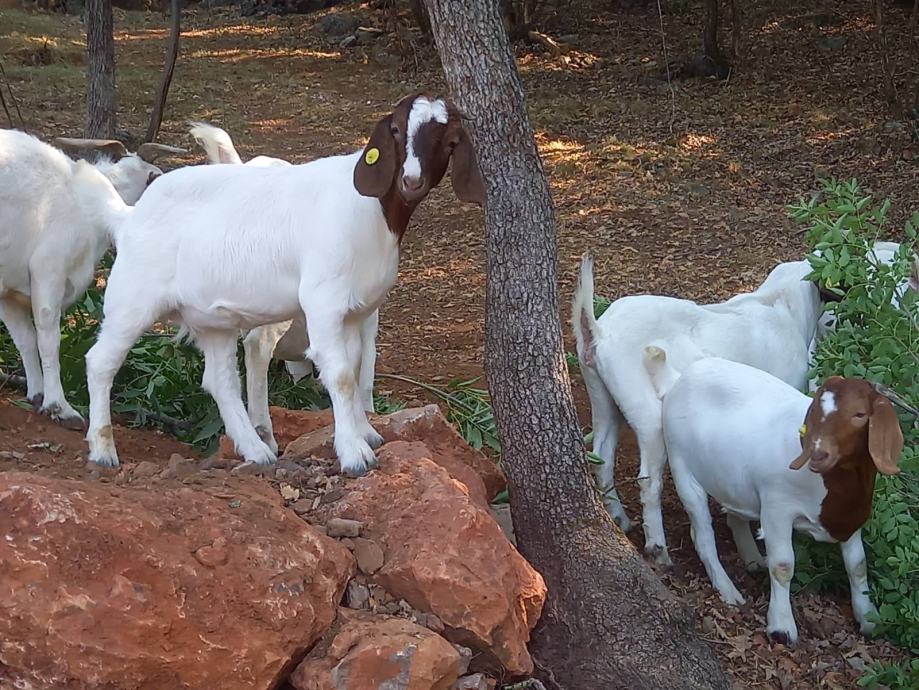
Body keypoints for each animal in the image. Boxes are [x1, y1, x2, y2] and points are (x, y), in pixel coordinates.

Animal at [0, 130, 185, 424]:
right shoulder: (48, 271)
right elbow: (48, 340)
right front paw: (60, 407)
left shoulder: (8, 291)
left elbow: (25, 339)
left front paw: (37, 394)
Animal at [572, 254, 824, 564]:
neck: (780, 305)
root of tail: (599, 332)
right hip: (648, 413)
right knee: (647, 480)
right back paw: (658, 549)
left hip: (602, 397)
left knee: (603, 458)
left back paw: (620, 520)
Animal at [648, 352, 904, 644]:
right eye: (817, 412)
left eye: (860, 414)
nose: (818, 453)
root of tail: (678, 378)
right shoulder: (777, 508)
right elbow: (783, 565)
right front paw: (782, 627)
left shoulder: (851, 517)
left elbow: (858, 565)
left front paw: (868, 618)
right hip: (683, 468)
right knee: (701, 536)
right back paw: (728, 590)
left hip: (731, 477)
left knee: (734, 516)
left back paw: (752, 560)